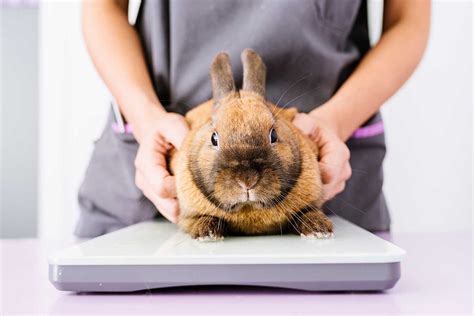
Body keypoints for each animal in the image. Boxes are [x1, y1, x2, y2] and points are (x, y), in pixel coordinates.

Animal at [170, 48, 334, 242]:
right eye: (214, 138)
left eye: (274, 135)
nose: (247, 180)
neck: (249, 207)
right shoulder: (189, 215)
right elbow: (199, 219)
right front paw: (207, 234)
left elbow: (307, 212)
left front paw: (319, 229)